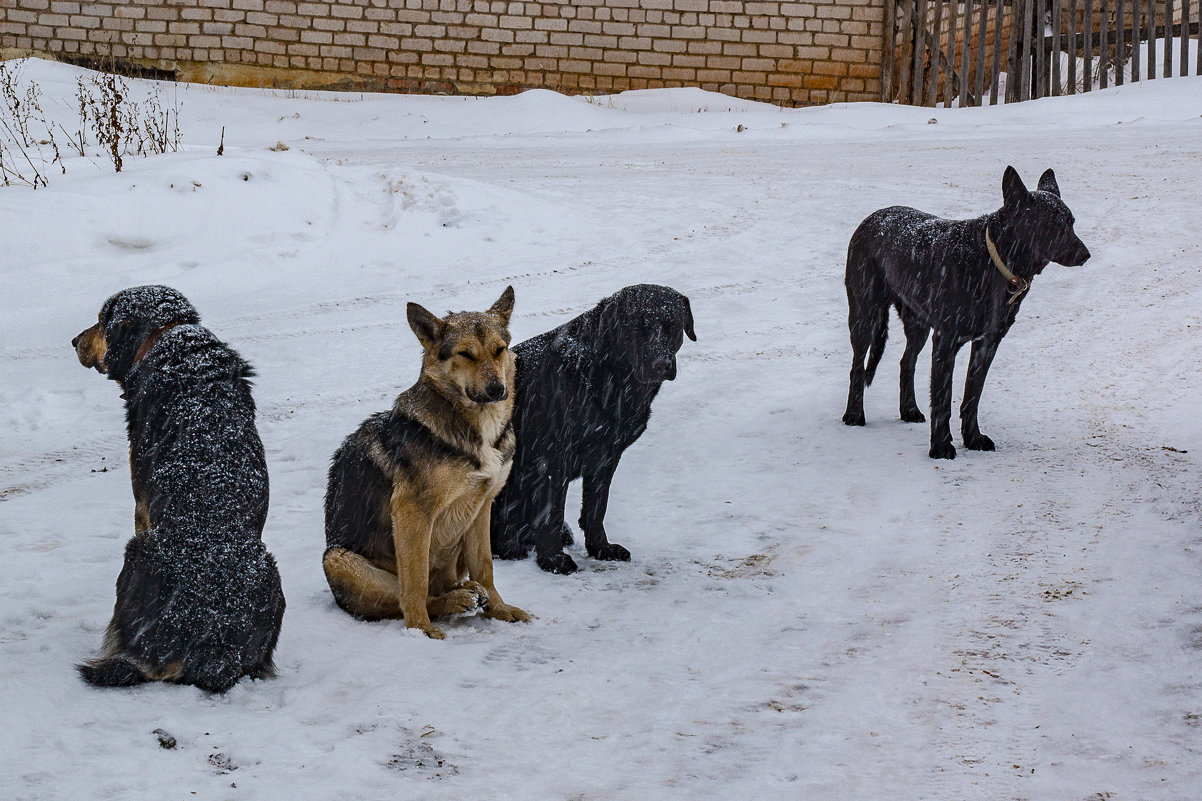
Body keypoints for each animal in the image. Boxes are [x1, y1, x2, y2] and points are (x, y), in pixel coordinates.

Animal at [71, 287, 284, 692]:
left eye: (102, 320)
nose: (74, 341)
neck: (170, 335)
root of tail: (213, 638)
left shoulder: (141, 504)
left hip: (137, 552)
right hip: (270, 572)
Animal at [322, 285, 528, 635]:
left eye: (500, 350)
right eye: (465, 354)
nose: (497, 389)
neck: (475, 426)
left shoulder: (482, 506)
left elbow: (486, 567)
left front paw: (500, 610)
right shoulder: (411, 510)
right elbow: (415, 582)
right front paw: (420, 631)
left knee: (446, 584)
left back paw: (467, 592)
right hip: (337, 557)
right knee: (410, 596)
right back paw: (454, 602)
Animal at [488, 283, 697, 570]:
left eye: (672, 325)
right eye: (637, 327)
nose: (662, 364)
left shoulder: (606, 455)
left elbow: (596, 508)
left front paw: (600, 548)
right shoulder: (552, 457)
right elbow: (552, 513)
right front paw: (553, 559)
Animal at [846, 164, 1091, 459]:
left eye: (1071, 223)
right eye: (1051, 224)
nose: (1085, 254)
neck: (992, 261)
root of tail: (870, 218)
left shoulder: (988, 343)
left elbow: (972, 395)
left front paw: (972, 438)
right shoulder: (945, 341)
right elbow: (943, 398)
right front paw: (941, 447)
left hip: (917, 324)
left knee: (906, 362)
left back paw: (909, 410)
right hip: (865, 315)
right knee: (858, 366)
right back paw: (854, 414)